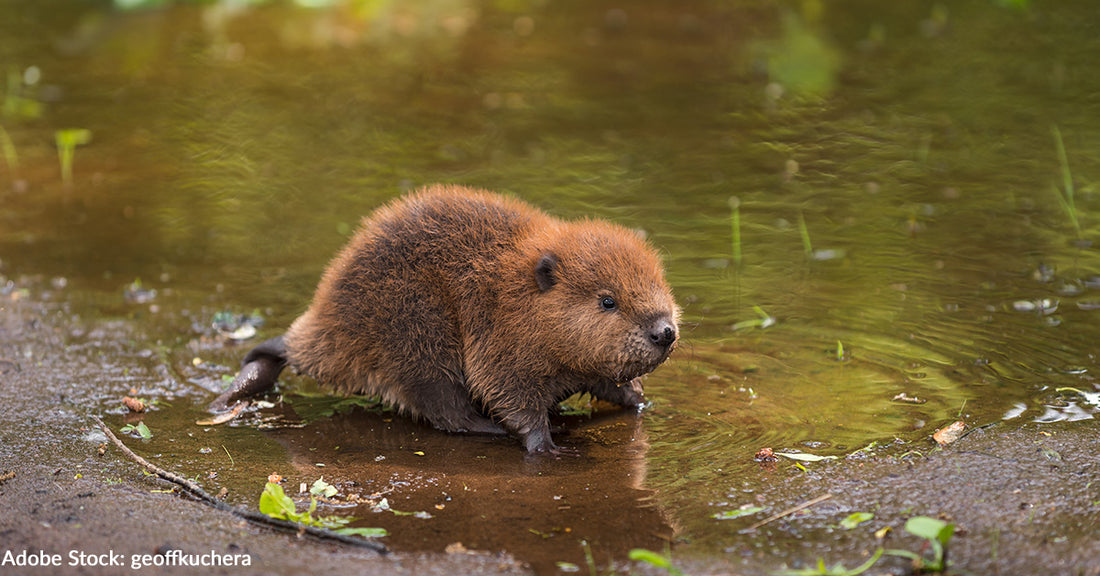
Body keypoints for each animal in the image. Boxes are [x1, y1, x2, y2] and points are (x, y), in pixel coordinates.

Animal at [211, 184, 677, 455]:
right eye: (607, 301)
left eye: (659, 281)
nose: (665, 331)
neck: (516, 292)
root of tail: (316, 331)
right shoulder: (498, 335)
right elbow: (507, 390)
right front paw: (547, 445)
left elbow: (606, 383)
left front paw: (640, 399)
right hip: (414, 324)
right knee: (444, 408)